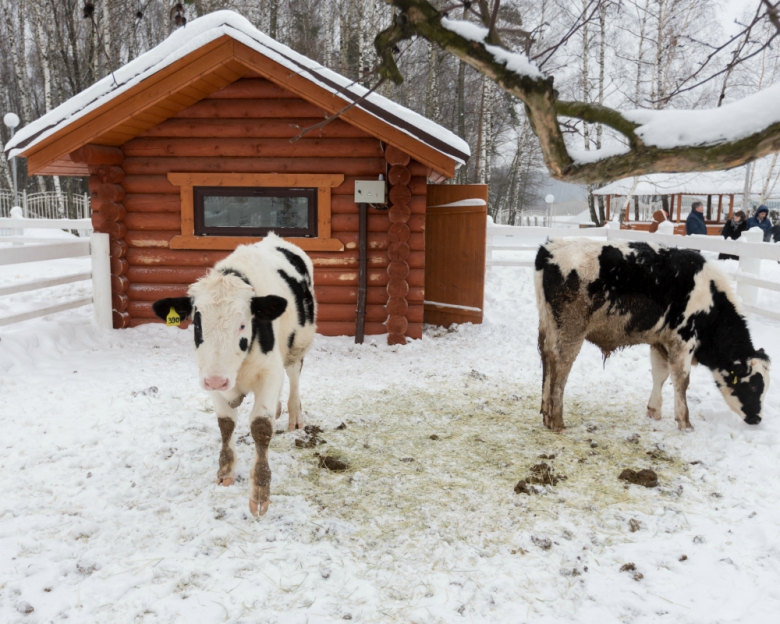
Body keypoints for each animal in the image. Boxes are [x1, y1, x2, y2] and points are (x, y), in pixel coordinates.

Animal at [153, 234, 316, 516]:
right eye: (197, 324)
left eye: (243, 324)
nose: (217, 380)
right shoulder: (211, 376)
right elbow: (226, 423)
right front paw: (225, 471)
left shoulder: (270, 371)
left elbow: (260, 426)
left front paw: (260, 492)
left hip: (297, 345)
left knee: (294, 375)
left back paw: (295, 416)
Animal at [536, 240, 768, 434]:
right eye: (754, 386)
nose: (757, 419)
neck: (711, 301)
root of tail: (551, 248)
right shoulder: (683, 341)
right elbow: (682, 380)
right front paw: (685, 423)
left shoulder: (660, 341)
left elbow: (660, 374)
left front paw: (654, 411)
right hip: (571, 331)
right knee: (561, 366)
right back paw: (557, 421)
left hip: (549, 327)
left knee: (547, 358)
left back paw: (546, 414)